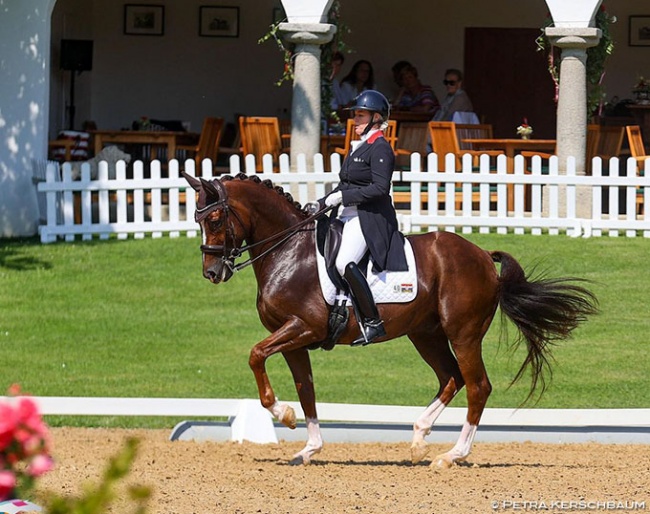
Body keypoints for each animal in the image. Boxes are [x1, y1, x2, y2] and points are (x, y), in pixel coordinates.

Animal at [181, 171, 592, 464]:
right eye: (198, 220)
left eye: (214, 218)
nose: (211, 272)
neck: (289, 251)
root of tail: (481, 255)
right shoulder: (294, 338)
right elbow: (306, 388)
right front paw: (308, 445)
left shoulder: (303, 327)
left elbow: (255, 355)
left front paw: (282, 414)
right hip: (425, 334)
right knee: (451, 378)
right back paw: (419, 437)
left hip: (464, 334)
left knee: (478, 386)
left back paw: (452, 455)